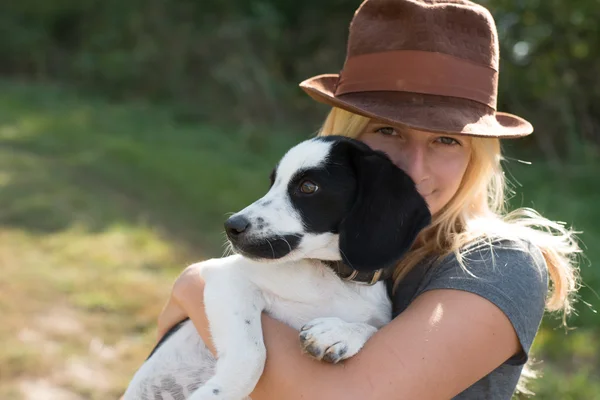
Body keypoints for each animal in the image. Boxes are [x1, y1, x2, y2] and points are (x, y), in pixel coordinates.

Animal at [123, 136, 432, 398]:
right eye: (272, 183)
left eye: (308, 187)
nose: (231, 226)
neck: (334, 276)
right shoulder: (227, 277)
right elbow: (252, 355)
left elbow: (373, 328)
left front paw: (338, 333)